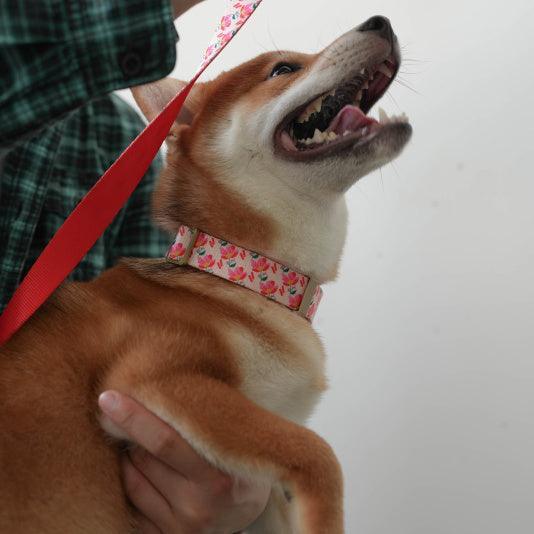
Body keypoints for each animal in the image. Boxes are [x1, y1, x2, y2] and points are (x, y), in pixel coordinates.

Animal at [0, 14, 414, 532]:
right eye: (283, 69)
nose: (381, 22)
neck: (241, 275)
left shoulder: (262, 481)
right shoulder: (156, 378)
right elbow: (318, 453)